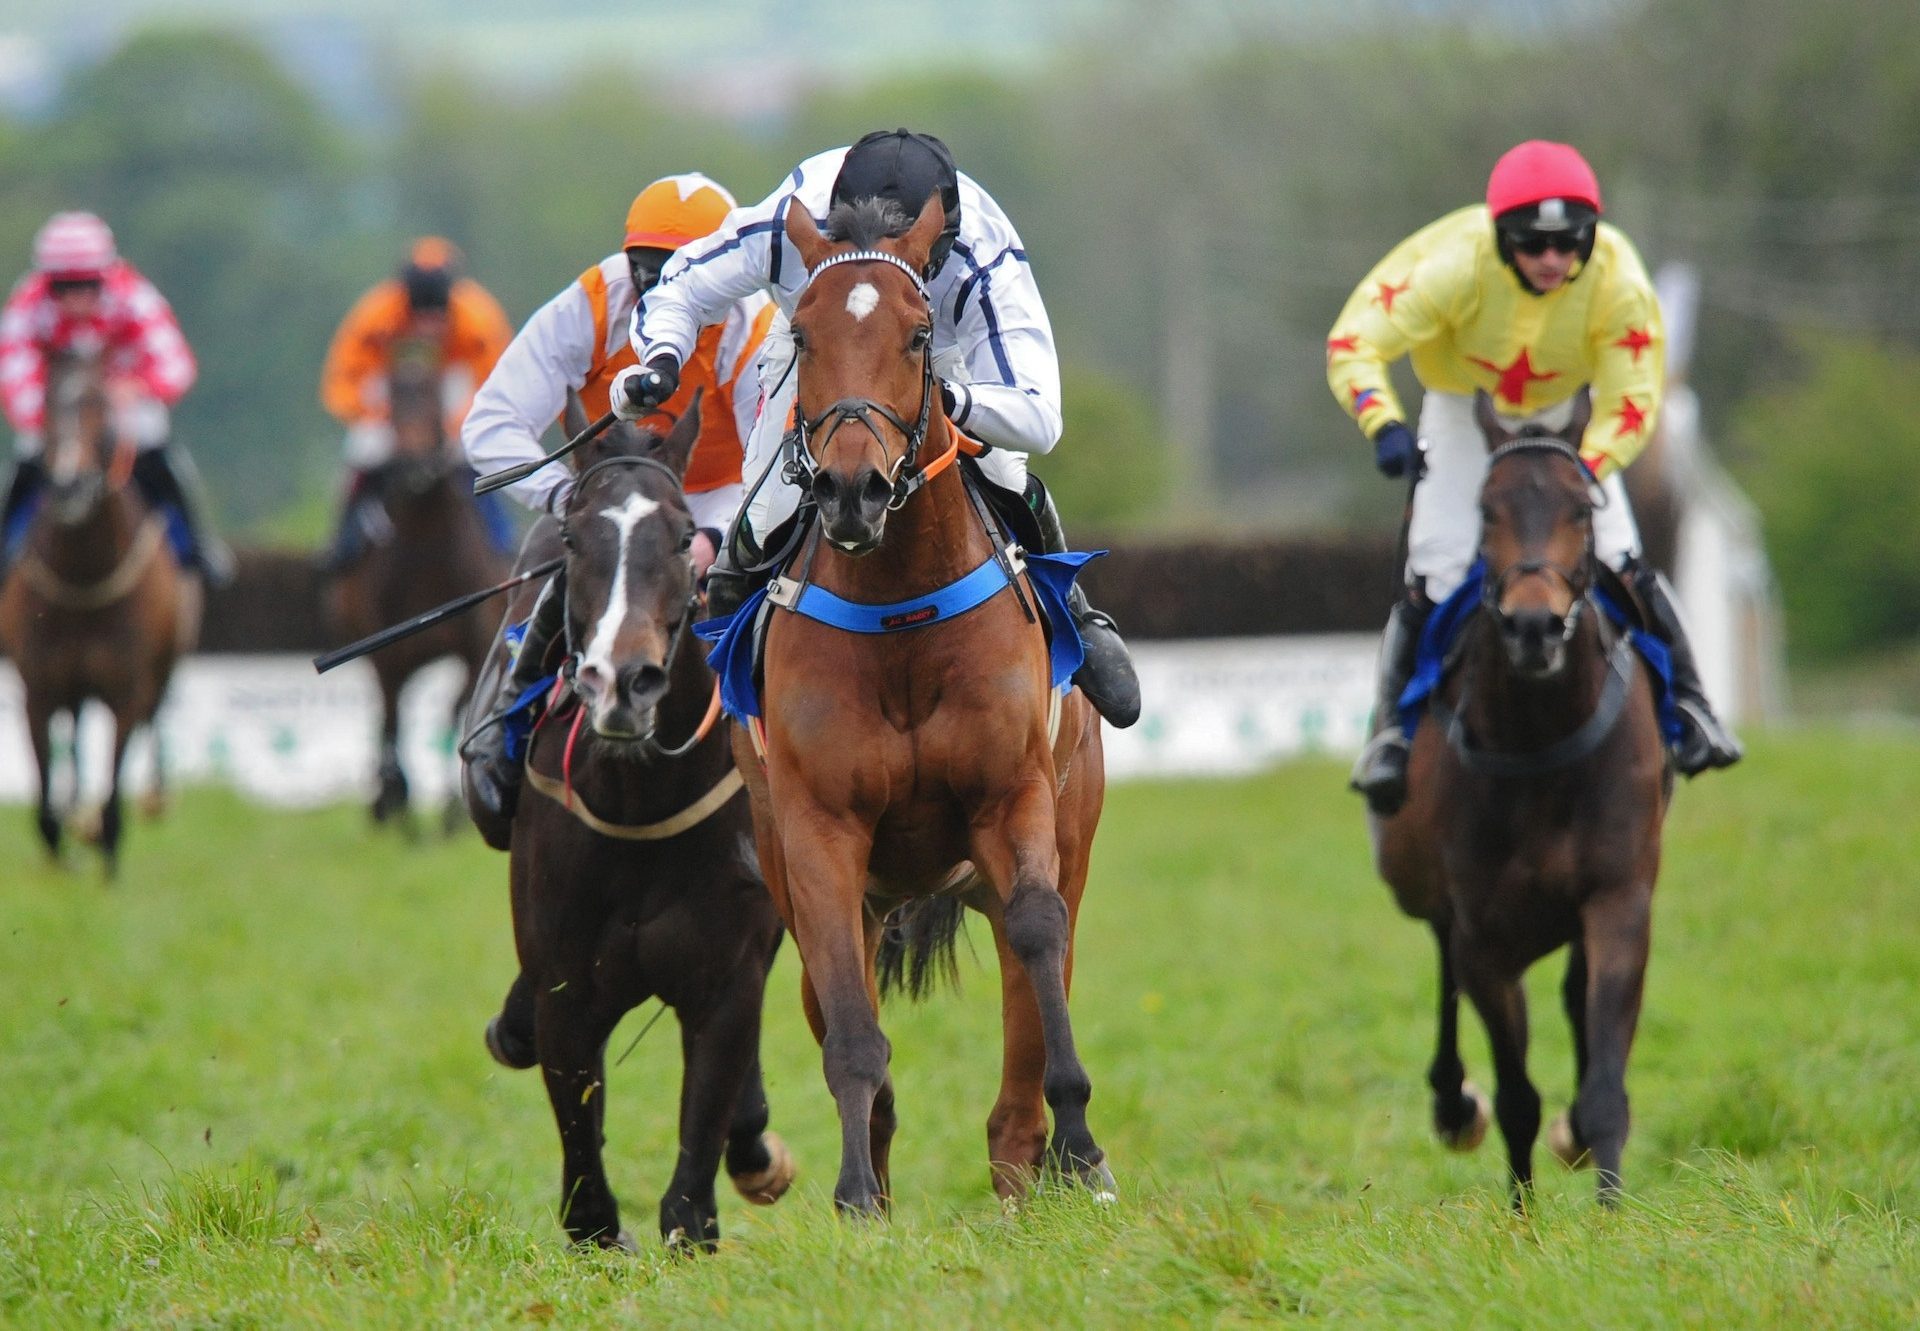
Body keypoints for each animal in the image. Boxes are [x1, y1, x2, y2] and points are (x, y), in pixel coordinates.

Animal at [0, 347, 198, 875]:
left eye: (99, 402)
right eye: (48, 404)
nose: (69, 484)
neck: (83, 576)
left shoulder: (125, 690)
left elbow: (112, 799)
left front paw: (103, 848)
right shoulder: (39, 691)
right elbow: (45, 807)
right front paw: (61, 857)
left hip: (160, 668)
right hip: (71, 687)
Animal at [330, 338, 510, 825]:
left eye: (433, 399)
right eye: (391, 403)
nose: (415, 465)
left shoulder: (475, 644)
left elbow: (455, 711)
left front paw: (451, 808)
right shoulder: (386, 652)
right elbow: (392, 720)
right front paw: (397, 801)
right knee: (386, 718)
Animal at [460, 399, 791, 1252]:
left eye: (682, 536)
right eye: (577, 538)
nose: (621, 681)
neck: (642, 796)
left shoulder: (726, 982)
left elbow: (691, 1193)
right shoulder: (567, 987)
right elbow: (586, 1185)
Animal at [741, 196, 1121, 1213]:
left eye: (919, 335)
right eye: (802, 332)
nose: (850, 489)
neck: (900, 613)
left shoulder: (1012, 796)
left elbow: (1039, 938)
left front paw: (1080, 1147)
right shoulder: (820, 833)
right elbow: (849, 1021)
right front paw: (855, 1195)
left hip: (1060, 834)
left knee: (1032, 1008)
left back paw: (1033, 1171)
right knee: (833, 1001)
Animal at [1374, 386, 1674, 1206]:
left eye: (1582, 510)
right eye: (1485, 510)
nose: (1535, 625)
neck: (1542, 742)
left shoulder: (1618, 897)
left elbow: (1603, 1083)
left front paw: (1609, 1210)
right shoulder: (1483, 933)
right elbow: (1515, 1095)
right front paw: (1522, 1216)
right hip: (1426, 889)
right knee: (1444, 970)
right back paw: (1453, 1104)